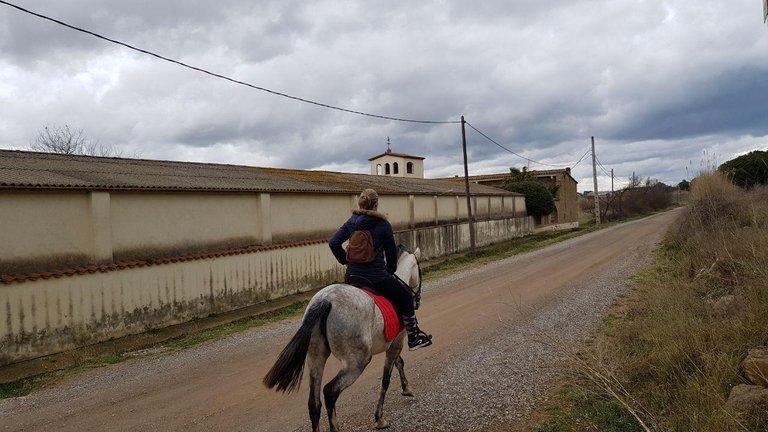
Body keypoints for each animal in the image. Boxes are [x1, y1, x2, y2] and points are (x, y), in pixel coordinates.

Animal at [262, 246, 420, 432]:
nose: (417, 299)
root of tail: (325, 301)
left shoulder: (393, 343)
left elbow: (399, 363)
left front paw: (406, 388)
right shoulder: (396, 343)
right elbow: (386, 380)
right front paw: (379, 418)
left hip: (315, 357)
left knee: (314, 402)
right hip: (356, 361)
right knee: (330, 392)